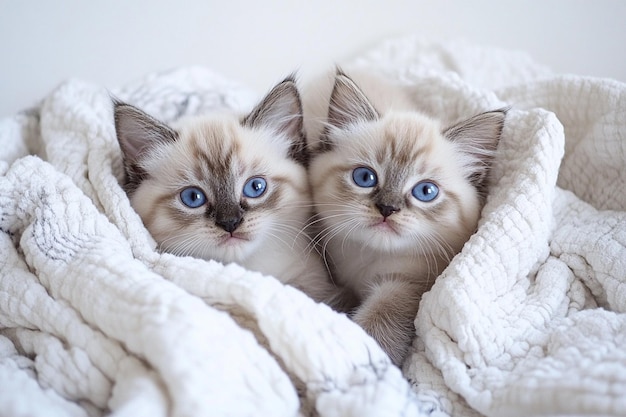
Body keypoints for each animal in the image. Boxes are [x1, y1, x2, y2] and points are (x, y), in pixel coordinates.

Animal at [304, 70, 508, 366]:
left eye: (426, 191)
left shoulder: (408, 285)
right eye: (365, 178)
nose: (387, 208)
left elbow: (380, 323)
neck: (366, 260)